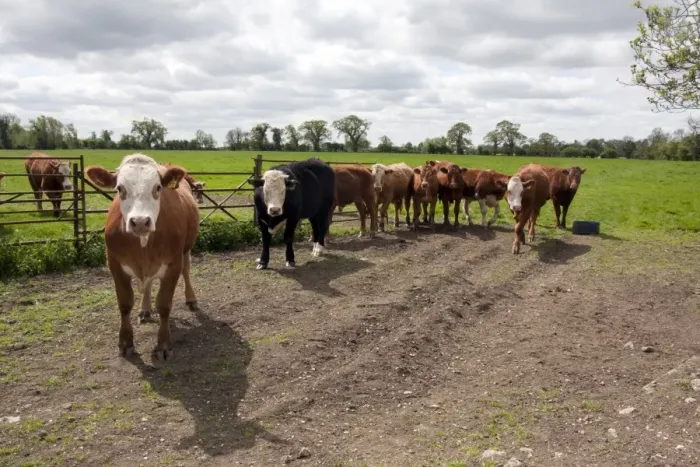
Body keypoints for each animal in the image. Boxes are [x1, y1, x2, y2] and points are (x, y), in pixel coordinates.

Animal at [85, 153, 200, 361]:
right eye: (119, 188)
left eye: (157, 187)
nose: (139, 222)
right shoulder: (114, 264)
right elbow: (124, 304)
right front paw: (125, 342)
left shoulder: (173, 265)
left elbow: (164, 305)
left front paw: (164, 345)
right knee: (148, 283)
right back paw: (145, 309)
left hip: (186, 250)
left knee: (186, 272)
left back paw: (191, 299)